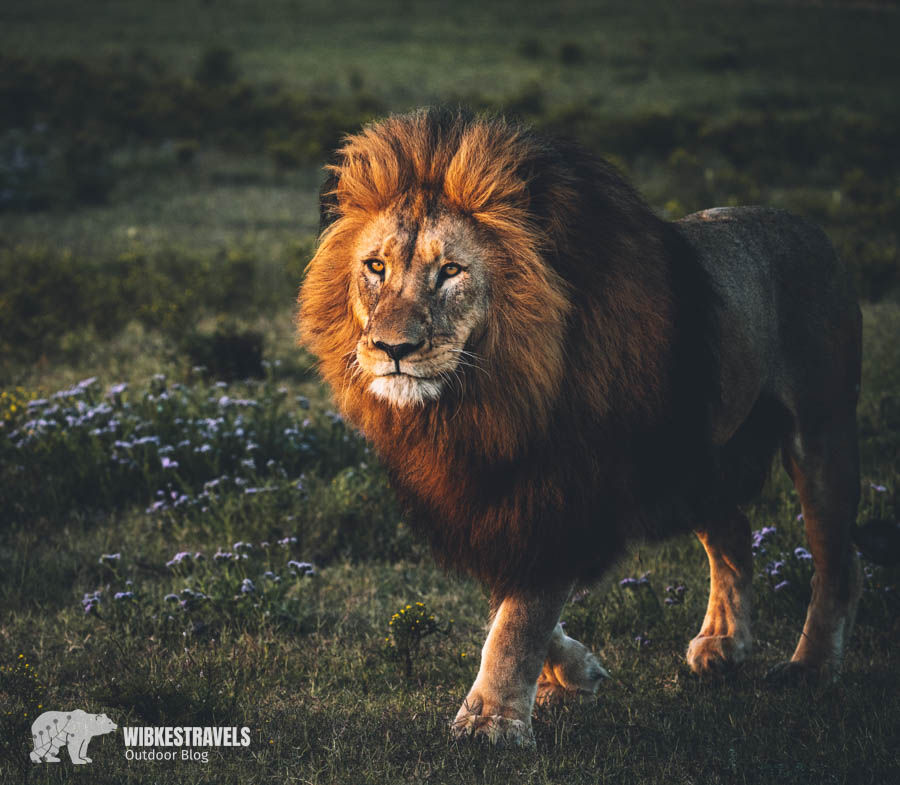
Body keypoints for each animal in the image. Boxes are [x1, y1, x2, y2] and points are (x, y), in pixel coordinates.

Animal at [298, 108, 863, 747]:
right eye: (376, 266)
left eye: (451, 272)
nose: (392, 350)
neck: (481, 400)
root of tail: (814, 230)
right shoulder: (485, 494)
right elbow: (512, 600)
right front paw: (574, 673)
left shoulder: (563, 486)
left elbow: (523, 614)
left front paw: (490, 721)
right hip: (691, 454)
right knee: (734, 533)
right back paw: (724, 644)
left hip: (821, 429)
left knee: (838, 559)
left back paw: (809, 666)